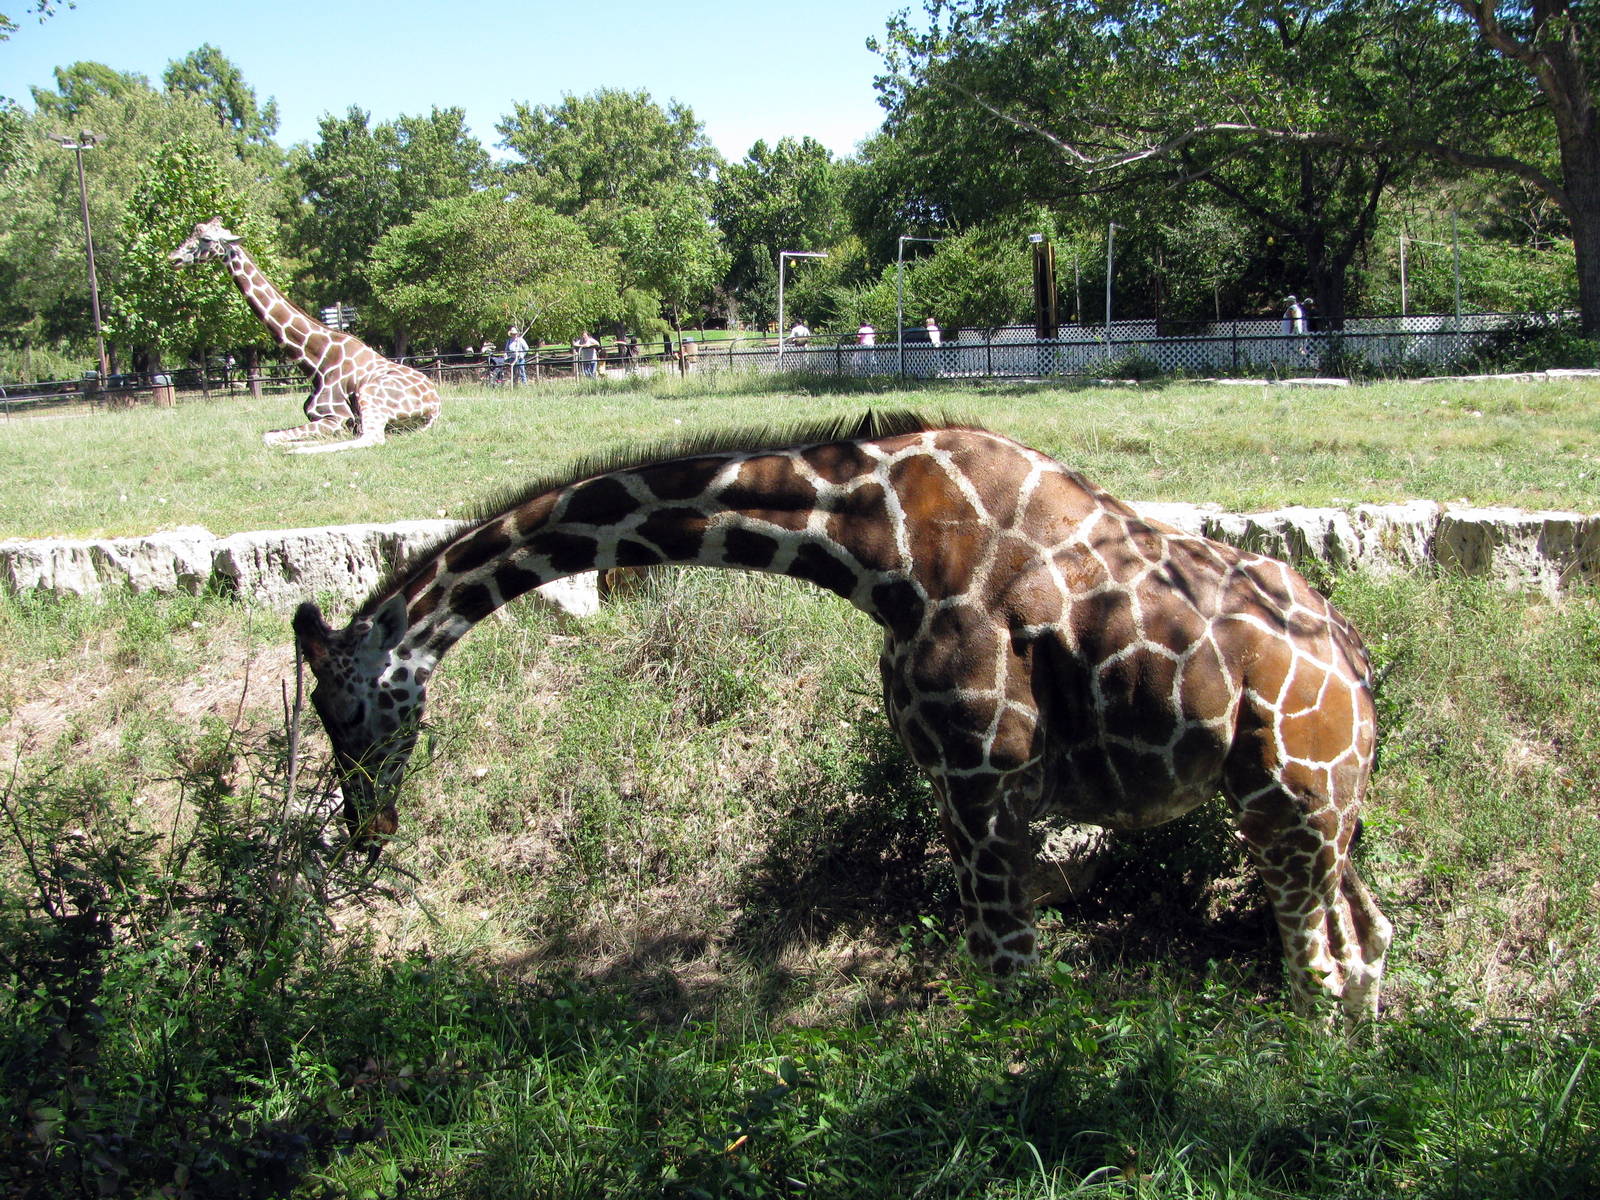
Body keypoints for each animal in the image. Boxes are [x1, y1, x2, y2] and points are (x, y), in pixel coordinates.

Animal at [169, 219, 440, 453]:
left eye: (205, 239)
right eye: (191, 233)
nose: (174, 258)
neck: (316, 361)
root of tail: (435, 406)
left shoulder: (337, 417)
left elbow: (268, 436)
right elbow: (270, 435)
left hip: (371, 395)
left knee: (372, 438)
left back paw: (296, 450)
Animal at [293, 413, 1392, 1024]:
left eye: (343, 707)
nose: (369, 827)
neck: (880, 548)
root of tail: (1356, 661)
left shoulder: (985, 775)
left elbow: (1011, 978)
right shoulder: (964, 787)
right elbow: (1003, 970)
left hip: (1288, 804)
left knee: (1317, 966)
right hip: (1323, 815)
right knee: (1364, 944)